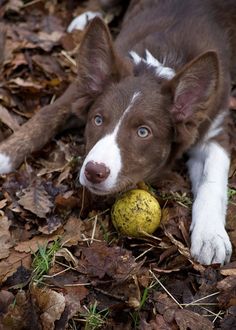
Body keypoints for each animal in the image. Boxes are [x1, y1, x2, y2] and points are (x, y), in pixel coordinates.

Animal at [0, 0, 236, 262]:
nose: (94, 172)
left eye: (143, 132)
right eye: (98, 119)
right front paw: (3, 156)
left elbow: (212, 179)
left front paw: (210, 236)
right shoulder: (78, 93)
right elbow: (44, 118)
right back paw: (86, 18)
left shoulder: (215, 128)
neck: (156, 70)